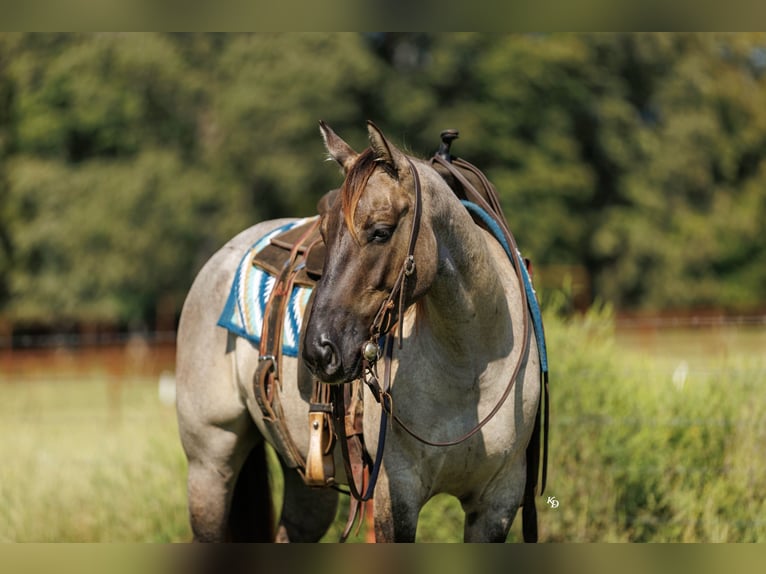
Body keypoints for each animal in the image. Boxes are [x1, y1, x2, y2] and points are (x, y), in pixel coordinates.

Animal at [175, 121, 543, 542]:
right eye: (325, 232)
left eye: (381, 231)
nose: (319, 351)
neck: (470, 367)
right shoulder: (394, 496)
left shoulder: (497, 503)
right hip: (210, 462)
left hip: (306, 479)